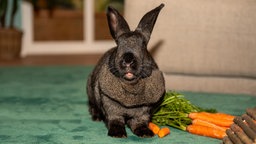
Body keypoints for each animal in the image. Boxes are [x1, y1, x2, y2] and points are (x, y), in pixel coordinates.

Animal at [86, 3, 166, 138]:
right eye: (118, 44)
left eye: (143, 44)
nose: (128, 60)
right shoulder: (111, 108)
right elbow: (115, 120)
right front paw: (118, 134)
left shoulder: (143, 112)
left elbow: (139, 122)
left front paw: (145, 133)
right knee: (92, 106)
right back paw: (96, 117)